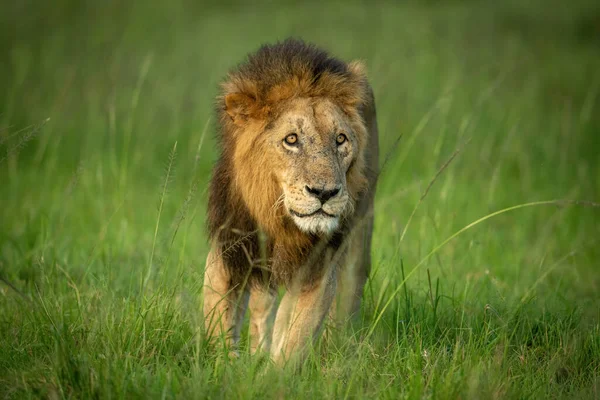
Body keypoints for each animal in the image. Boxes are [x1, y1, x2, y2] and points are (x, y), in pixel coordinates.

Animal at [204, 39, 378, 368]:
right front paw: (226, 368)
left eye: (340, 139)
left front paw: (272, 375)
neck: (277, 218)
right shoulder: (228, 251)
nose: (325, 193)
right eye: (292, 139)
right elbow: (217, 328)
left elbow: (294, 341)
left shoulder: (317, 269)